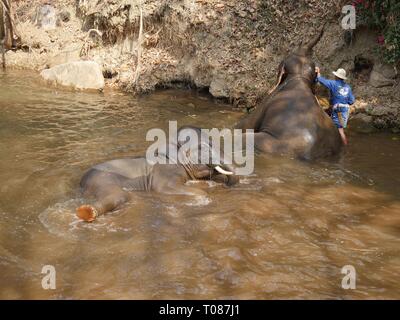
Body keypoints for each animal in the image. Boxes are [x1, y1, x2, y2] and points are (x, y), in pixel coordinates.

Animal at [76, 126, 239, 221]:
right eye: (202, 147)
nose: (228, 185)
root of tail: (81, 183)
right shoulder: (164, 171)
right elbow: (162, 188)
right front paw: (204, 198)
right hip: (101, 180)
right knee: (120, 195)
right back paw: (87, 212)